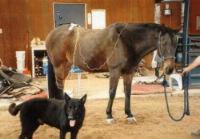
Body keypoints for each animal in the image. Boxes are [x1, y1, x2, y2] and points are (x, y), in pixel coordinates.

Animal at [45, 22, 178, 122]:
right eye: (164, 43)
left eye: (176, 43)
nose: (170, 69)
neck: (126, 41)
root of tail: (51, 34)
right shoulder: (115, 71)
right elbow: (112, 93)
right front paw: (109, 115)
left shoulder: (129, 72)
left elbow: (128, 92)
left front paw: (129, 114)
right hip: (59, 66)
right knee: (60, 87)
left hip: (66, 66)